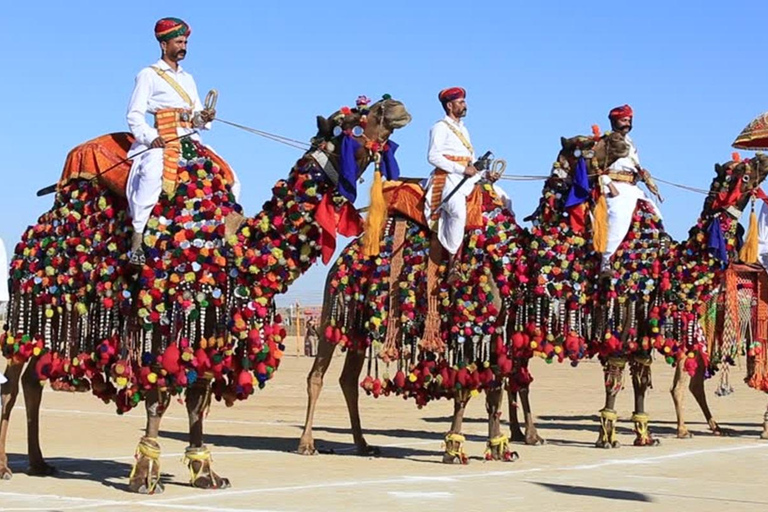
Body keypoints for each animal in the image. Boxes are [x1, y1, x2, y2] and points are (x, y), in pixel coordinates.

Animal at [0, 97, 412, 492]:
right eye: (354, 118)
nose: (395, 106)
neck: (232, 246)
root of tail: (33, 233)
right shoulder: (164, 319)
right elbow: (159, 400)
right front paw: (144, 476)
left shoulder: (211, 324)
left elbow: (198, 399)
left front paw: (205, 473)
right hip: (25, 302)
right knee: (11, 384)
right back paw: (6, 467)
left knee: (32, 382)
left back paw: (39, 463)